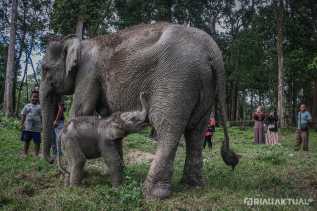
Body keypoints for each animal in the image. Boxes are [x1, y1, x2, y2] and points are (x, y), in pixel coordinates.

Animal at [39, 23, 237, 199]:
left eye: (45, 69)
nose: (50, 160)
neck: (81, 42)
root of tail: (213, 51)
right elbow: (108, 120)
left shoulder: (88, 73)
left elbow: (80, 111)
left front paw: (70, 176)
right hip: (206, 86)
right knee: (196, 132)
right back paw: (193, 185)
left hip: (177, 80)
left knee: (168, 128)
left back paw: (153, 194)